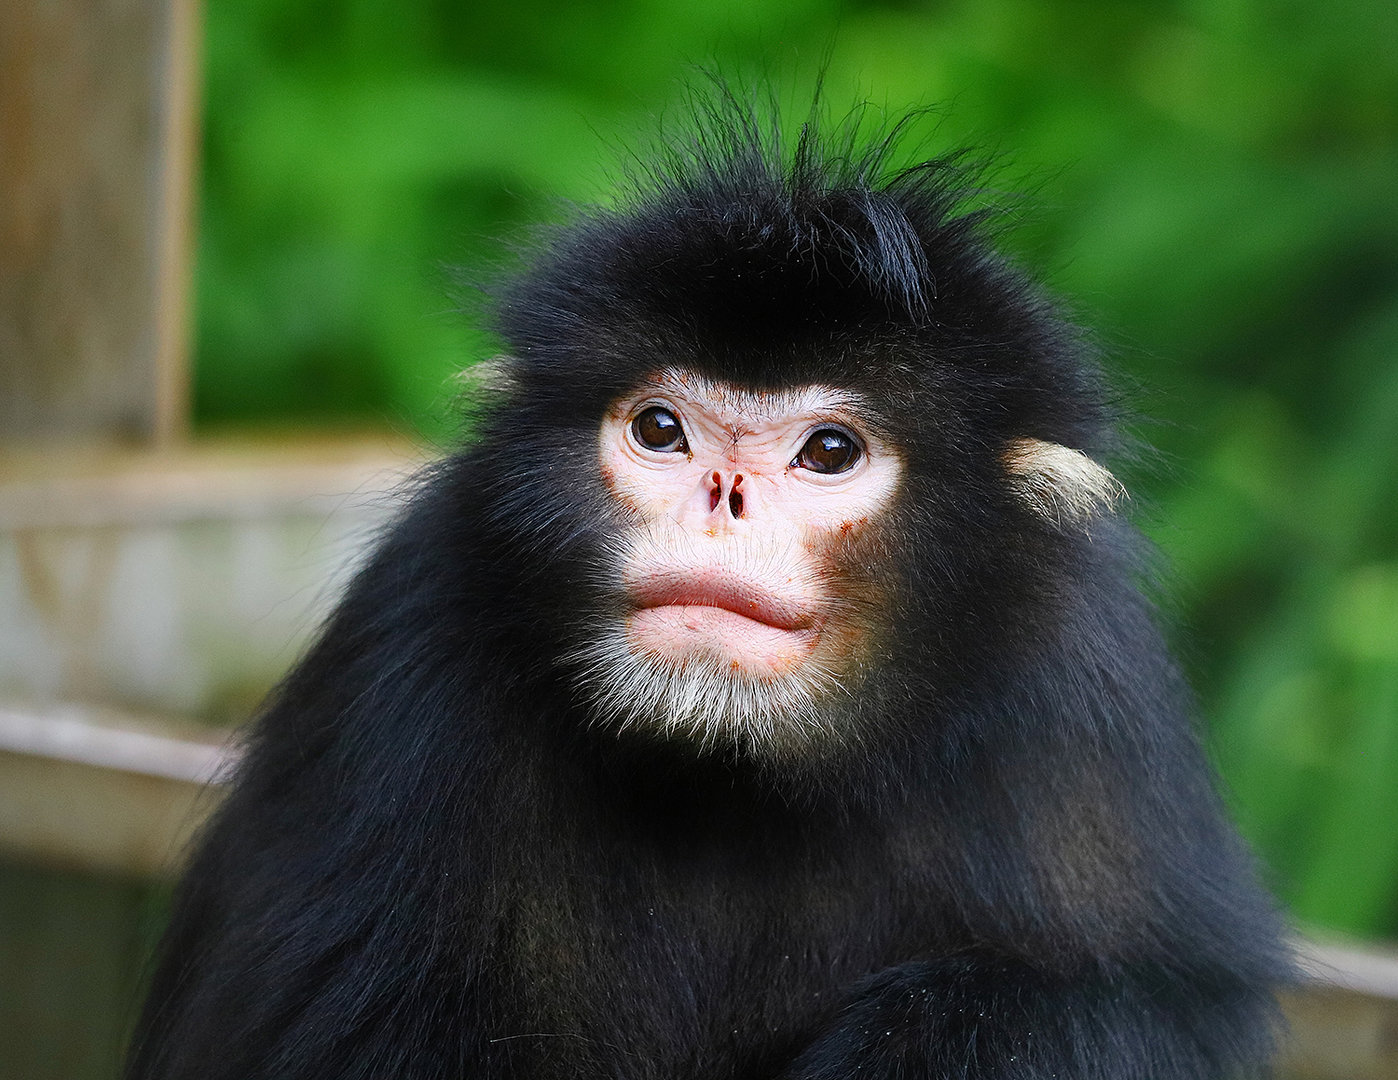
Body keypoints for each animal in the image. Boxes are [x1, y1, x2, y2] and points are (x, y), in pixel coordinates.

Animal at [126, 92, 1290, 1080]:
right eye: (660, 430)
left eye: (830, 452)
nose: (722, 499)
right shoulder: (420, 626)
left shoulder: (1082, 699)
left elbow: (1158, 1004)